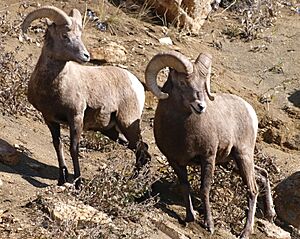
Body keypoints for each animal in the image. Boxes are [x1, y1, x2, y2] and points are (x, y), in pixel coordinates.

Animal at [21, 6, 150, 189]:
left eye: (79, 35)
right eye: (65, 36)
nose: (86, 56)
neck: (53, 86)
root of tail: (137, 84)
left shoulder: (76, 117)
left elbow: (74, 149)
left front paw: (78, 183)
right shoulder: (49, 119)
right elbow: (58, 145)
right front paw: (62, 179)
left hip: (127, 124)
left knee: (142, 150)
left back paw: (134, 182)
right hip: (111, 131)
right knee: (140, 149)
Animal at [146, 51, 276, 238]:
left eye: (202, 83)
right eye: (182, 83)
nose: (200, 106)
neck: (181, 131)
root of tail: (250, 110)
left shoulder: (207, 157)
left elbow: (204, 189)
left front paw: (209, 225)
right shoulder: (175, 161)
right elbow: (185, 187)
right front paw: (189, 217)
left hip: (243, 156)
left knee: (252, 190)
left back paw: (245, 232)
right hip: (231, 162)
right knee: (263, 174)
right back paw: (270, 214)